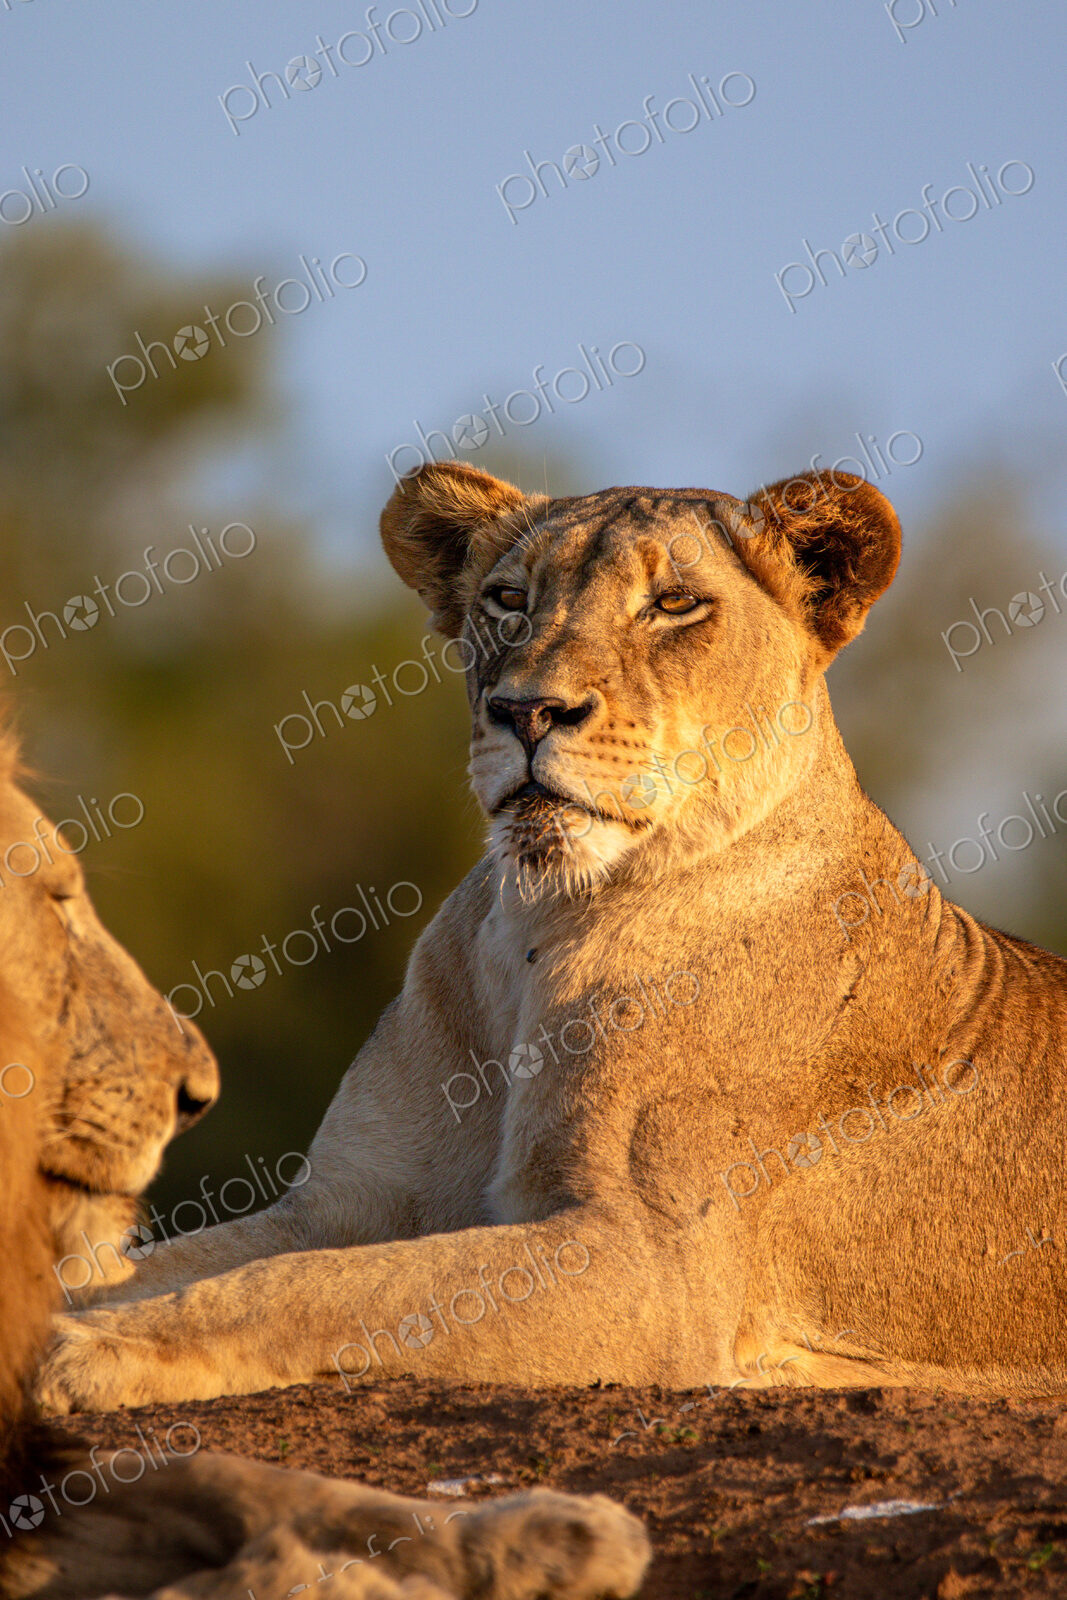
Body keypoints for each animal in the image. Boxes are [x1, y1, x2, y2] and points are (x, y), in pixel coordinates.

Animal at [35, 460, 1067, 1414]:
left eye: (673, 604)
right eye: (508, 600)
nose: (526, 711)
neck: (536, 925)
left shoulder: (649, 1263)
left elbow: (322, 1289)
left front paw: (98, 1351)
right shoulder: (341, 1201)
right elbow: (162, 1267)